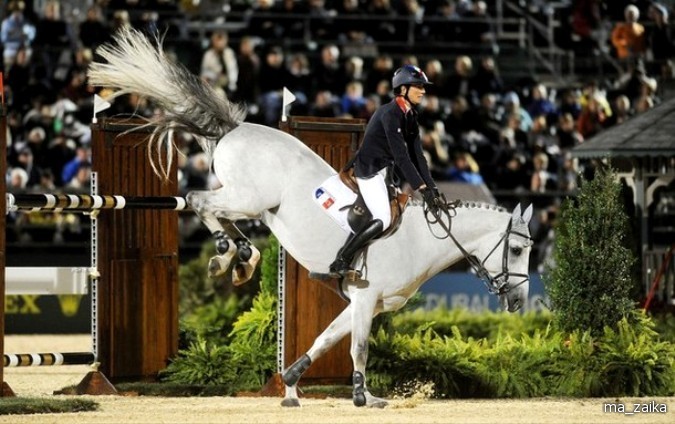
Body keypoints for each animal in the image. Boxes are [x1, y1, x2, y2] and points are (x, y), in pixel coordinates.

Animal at [88, 28, 532, 410]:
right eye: (515, 249)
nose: (519, 302)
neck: (421, 241)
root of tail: (235, 128)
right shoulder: (366, 296)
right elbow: (358, 347)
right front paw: (360, 396)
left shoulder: (365, 303)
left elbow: (325, 340)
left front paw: (292, 384)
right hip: (248, 198)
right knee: (200, 201)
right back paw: (226, 253)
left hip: (252, 205)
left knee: (219, 213)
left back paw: (242, 258)